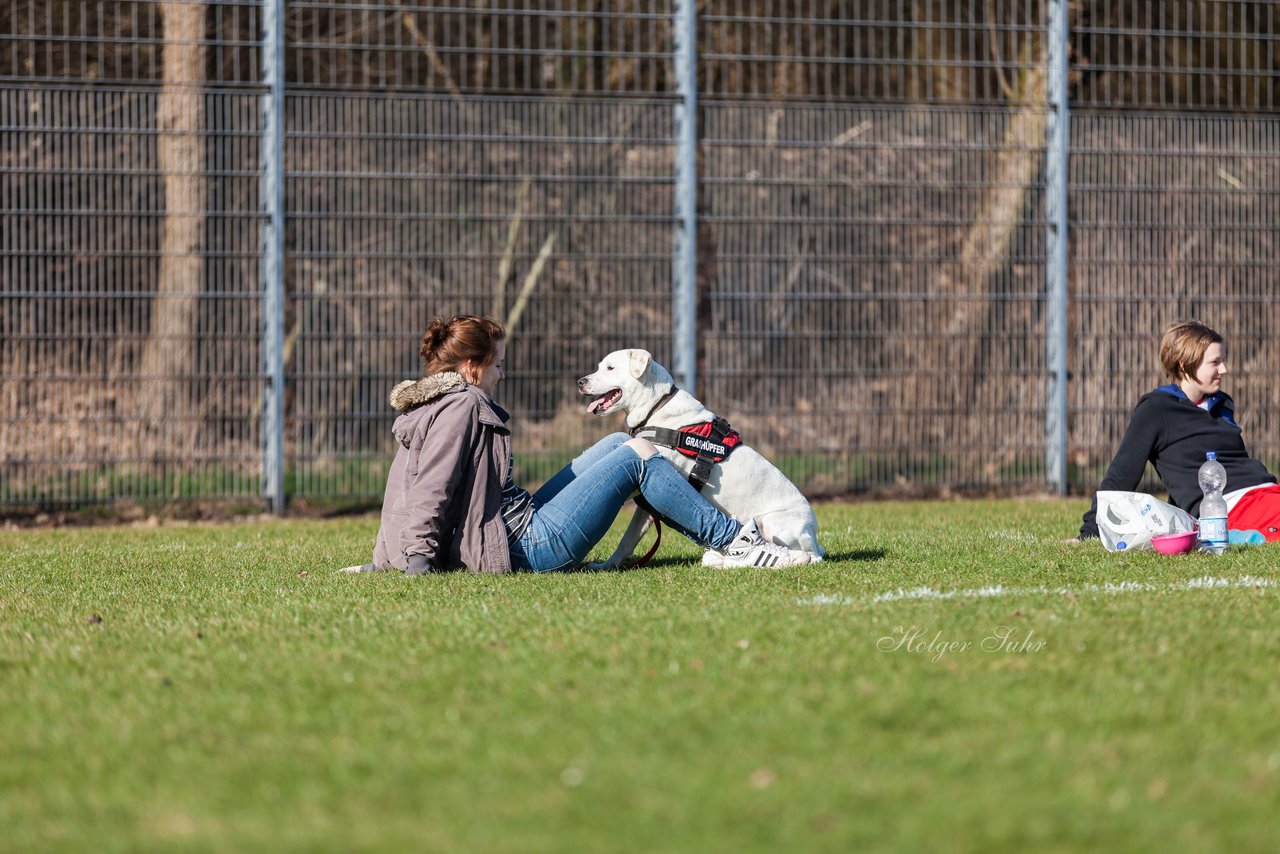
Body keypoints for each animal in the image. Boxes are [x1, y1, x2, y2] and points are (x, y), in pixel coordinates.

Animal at [578, 348, 824, 568]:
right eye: (599, 366)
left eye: (610, 368)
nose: (580, 381)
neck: (656, 406)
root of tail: (814, 533)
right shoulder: (646, 504)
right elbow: (627, 540)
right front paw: (607, 565)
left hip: (773, 524)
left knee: (809, 557)